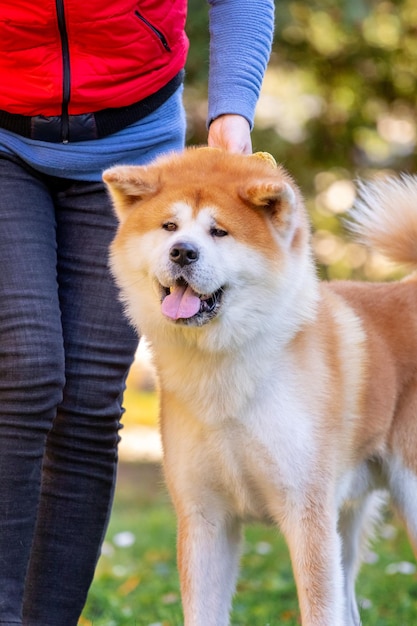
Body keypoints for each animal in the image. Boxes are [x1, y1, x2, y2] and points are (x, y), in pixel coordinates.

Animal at [102, 147, 416, 624]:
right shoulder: (204, 518)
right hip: (346, 519)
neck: (225, 368)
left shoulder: (306, 514)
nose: (182, 252)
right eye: (169, 226)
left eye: (219, 231)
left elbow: (318, 610)